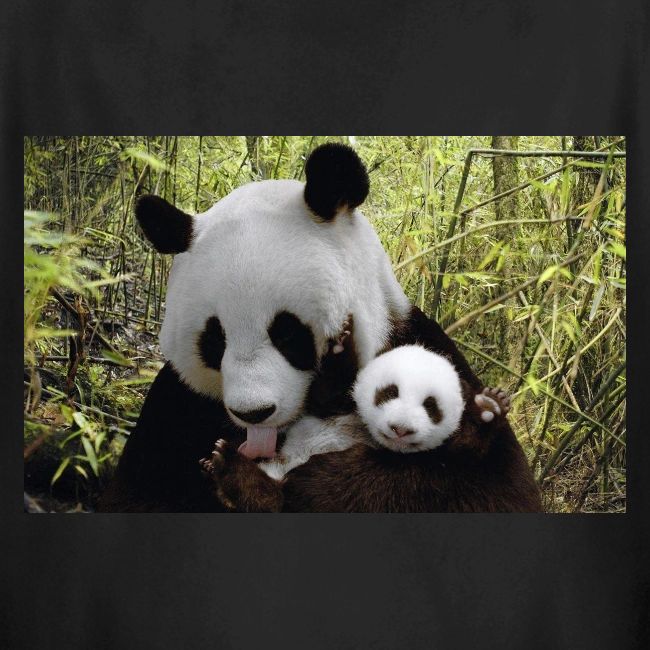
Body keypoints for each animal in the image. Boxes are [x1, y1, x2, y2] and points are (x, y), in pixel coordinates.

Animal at [98, 143, 541, 513]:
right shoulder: (178, 405)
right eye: (215, 339)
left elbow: (488, 488)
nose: (254, 413)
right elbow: (140, 494)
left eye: (287, 333)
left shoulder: (422, 347)